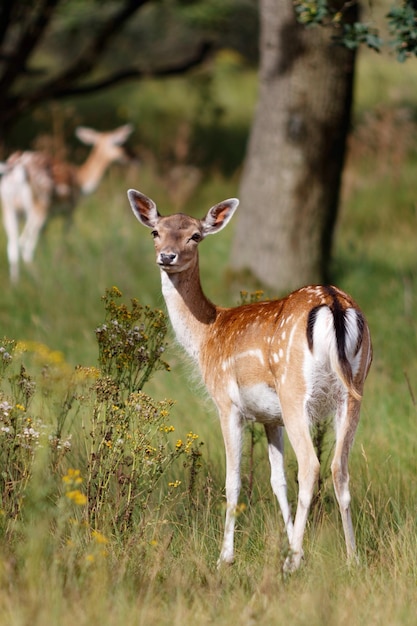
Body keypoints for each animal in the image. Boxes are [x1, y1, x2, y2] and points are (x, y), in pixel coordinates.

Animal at [0, 123, 132, 280]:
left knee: (12, 245)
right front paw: (58, 262)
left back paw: (16, 281)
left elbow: (44, 240)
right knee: (25, 243)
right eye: (117, 143)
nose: (126, 156)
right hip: (39, 204)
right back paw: (36, 276)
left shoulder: (48, 217)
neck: (82, 183)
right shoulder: (70, 209)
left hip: (9, 208)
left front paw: (49, 261)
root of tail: (14, 171)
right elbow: (65, 236)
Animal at [128, 186, 372, 572]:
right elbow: (277, 481)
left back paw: (292, 564)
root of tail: (334, 304)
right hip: (354, 391)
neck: (207, 335)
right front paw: (289, 543)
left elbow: (234, 480)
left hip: (294, 391)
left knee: (311, 466)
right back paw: (352, 558)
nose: (167, 256)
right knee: (340, 469)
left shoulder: (227, 404)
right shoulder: (271, 418)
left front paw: (225, 557)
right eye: (156, 231)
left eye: (195, 236)